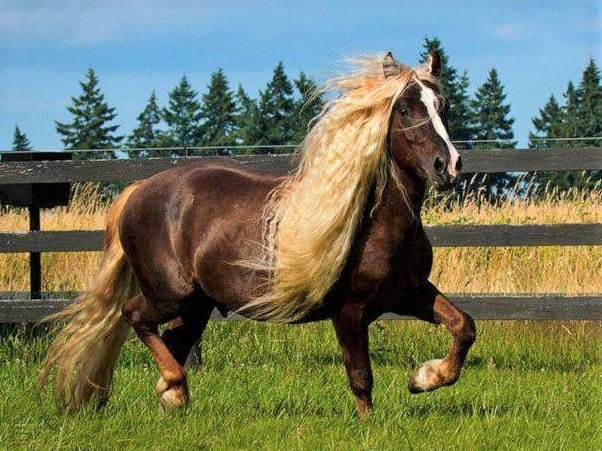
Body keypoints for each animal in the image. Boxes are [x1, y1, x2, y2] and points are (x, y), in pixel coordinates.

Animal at [41, 51, 474, 418]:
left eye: (442, 105)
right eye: (404, 108)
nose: (448, 165)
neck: (375, 224)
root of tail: (137, 191)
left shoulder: (409, 292)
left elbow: (463, 326)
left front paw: (423, 379)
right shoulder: (350, 311)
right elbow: (361, 378)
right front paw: (371, 422)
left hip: (196, 306)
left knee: (174, 342)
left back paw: (174, 397)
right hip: (170, 294)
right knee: (135, 316)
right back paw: (174, 388)